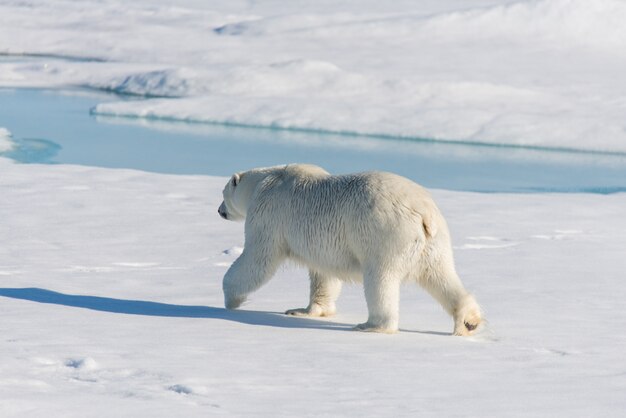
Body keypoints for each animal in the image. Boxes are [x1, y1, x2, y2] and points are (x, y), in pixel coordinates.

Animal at [217, 165, 480, 334]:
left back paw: (371, 325)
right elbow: (324, 274)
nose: (220, 211)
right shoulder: (322, 244)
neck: (266, 181)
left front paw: (231, 300)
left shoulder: (268, 215)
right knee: (441, 275)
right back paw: (469, 321)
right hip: (433, 242)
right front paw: (302, 310)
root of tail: (424, 211)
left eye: (222, 193)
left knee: (380, 279)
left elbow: (258, 258)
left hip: (385, 234)